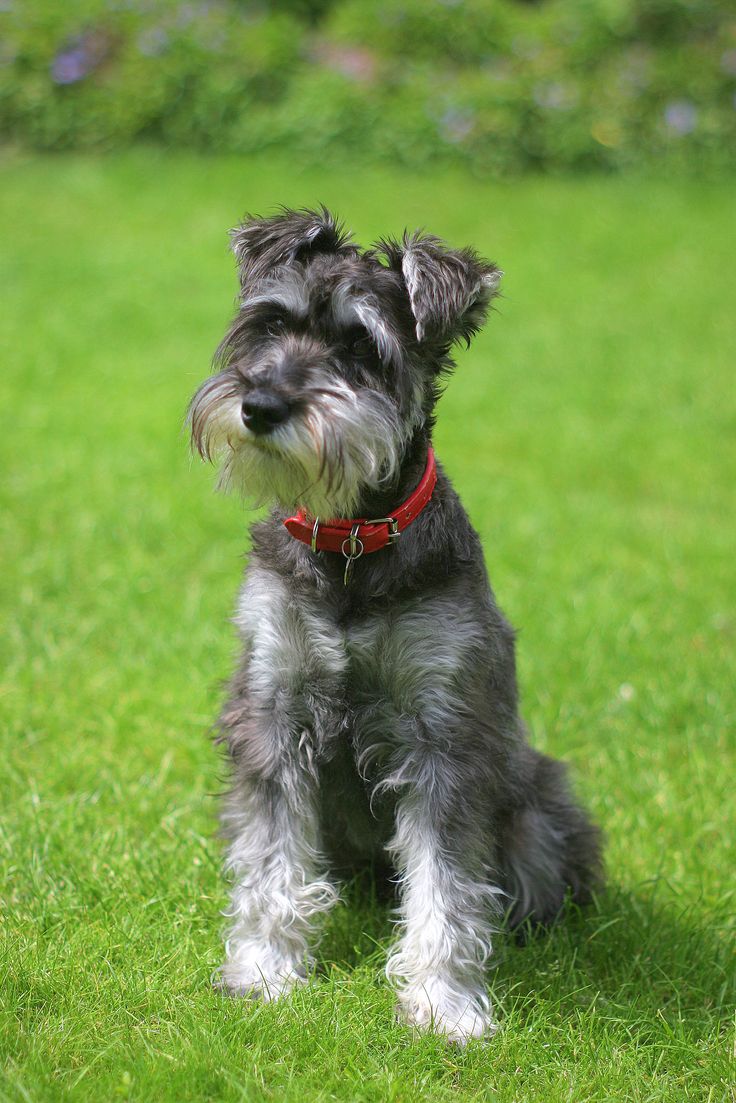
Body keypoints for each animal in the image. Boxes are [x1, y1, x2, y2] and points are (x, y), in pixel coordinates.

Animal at [187, 205, 600, 1041]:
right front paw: (264, 969)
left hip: (537, 803)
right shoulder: (274, 709)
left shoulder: (442, 736)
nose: (262, 406)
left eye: (359, 346)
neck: (350, 544)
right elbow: (271, 855)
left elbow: (447, 881)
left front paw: (445, 1002)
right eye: (270, 322)